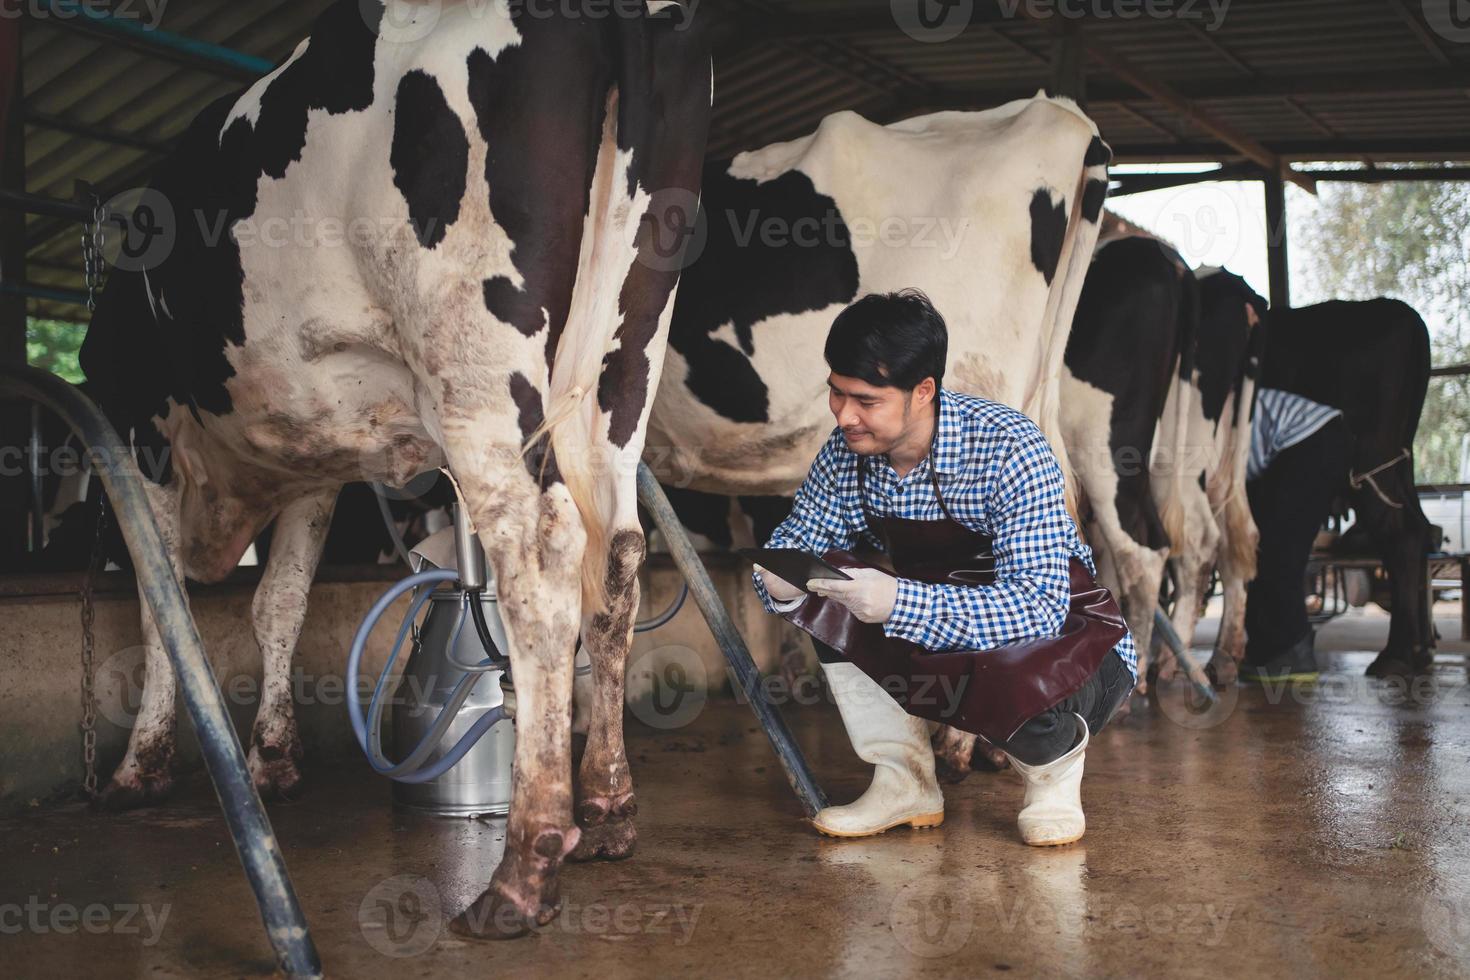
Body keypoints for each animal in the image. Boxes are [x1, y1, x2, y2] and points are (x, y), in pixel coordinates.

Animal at [79, 0, 711, 940]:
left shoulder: (140, 422)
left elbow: (165, 606)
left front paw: (140, 767)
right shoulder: (312, 463)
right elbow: (280, 603)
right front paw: (274, 758)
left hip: (475, 366)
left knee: (542, 564)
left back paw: (522, 872)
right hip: (624, 359)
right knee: (621, 561)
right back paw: (607, 813)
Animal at [1264, 301, 1434, 681]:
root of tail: (1403, 312)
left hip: (1370, 462)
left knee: (1402, 536)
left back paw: (1396, 654)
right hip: (1397, 466)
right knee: (1418, 529)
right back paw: (1419, 649)